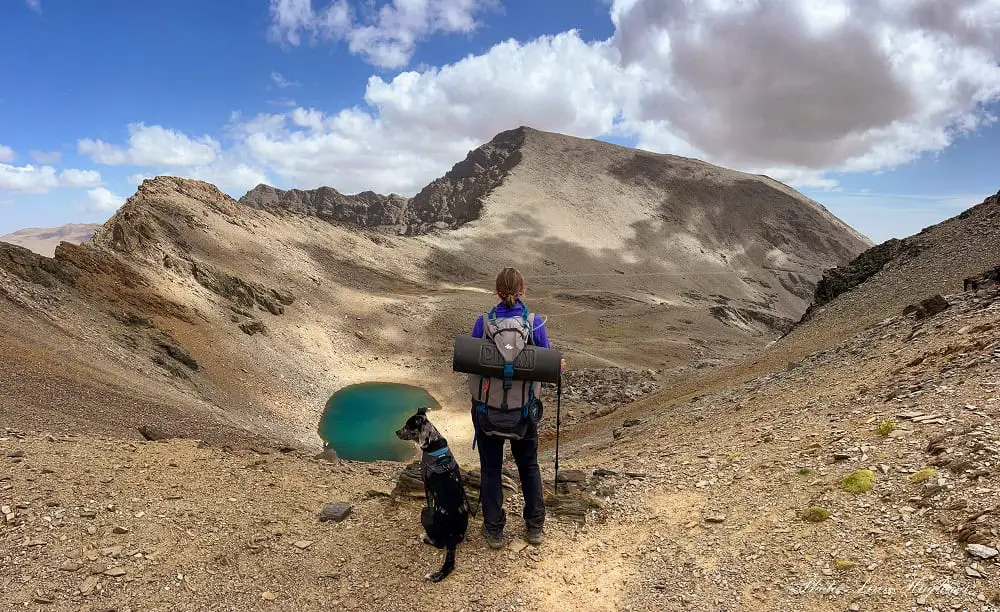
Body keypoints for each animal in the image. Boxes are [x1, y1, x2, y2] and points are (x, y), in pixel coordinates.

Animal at [394, 408, 468, 580]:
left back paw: (425, 538)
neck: (433, 443)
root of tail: (452, 535)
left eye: (408, 426)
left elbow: (429, 501)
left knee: (439, 544)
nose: (396, 432)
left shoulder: (426, 485)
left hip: (425, 516)